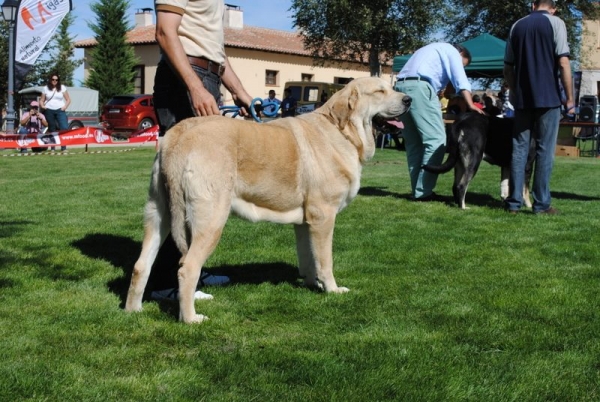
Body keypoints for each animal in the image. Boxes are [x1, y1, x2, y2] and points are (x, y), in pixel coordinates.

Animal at [124, 77, 410, 324]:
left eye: (391, 87)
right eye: (380, 91)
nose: (408, 99)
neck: (343, 131)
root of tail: (177, 136)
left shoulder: (305, 222)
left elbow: (308, 257)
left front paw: (311, 284)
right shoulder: (323, 216)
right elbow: (325, 260)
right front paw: (332, 289)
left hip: (158, 214)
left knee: (141, 265)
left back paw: (133, 311)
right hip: (211, 219)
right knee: (187, 268)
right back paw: (191, 318)